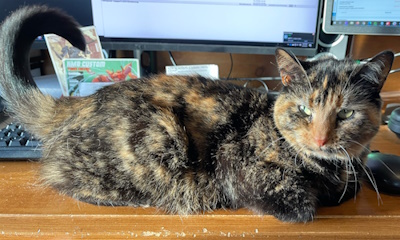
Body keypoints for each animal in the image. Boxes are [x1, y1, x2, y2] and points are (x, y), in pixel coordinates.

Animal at [0, 6, 394, 223]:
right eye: (304, 109)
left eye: (346, 113)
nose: (321, 138)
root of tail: (75, 103)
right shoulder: (240, 168)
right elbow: (303, 204)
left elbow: (348, 187)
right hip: (159, 134)